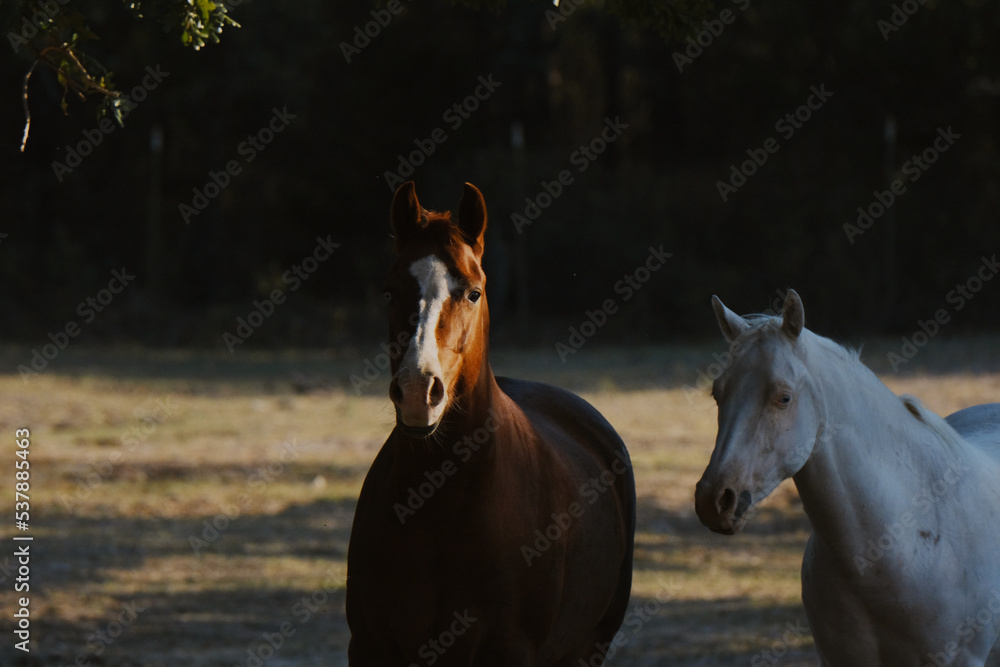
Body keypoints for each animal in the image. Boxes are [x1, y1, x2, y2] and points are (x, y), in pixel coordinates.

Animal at [346, 181, 636, 666]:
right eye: (389, 292)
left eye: (473, 292)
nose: (417, 391)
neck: (442, 508)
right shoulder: (369, 647)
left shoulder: (510, 650)